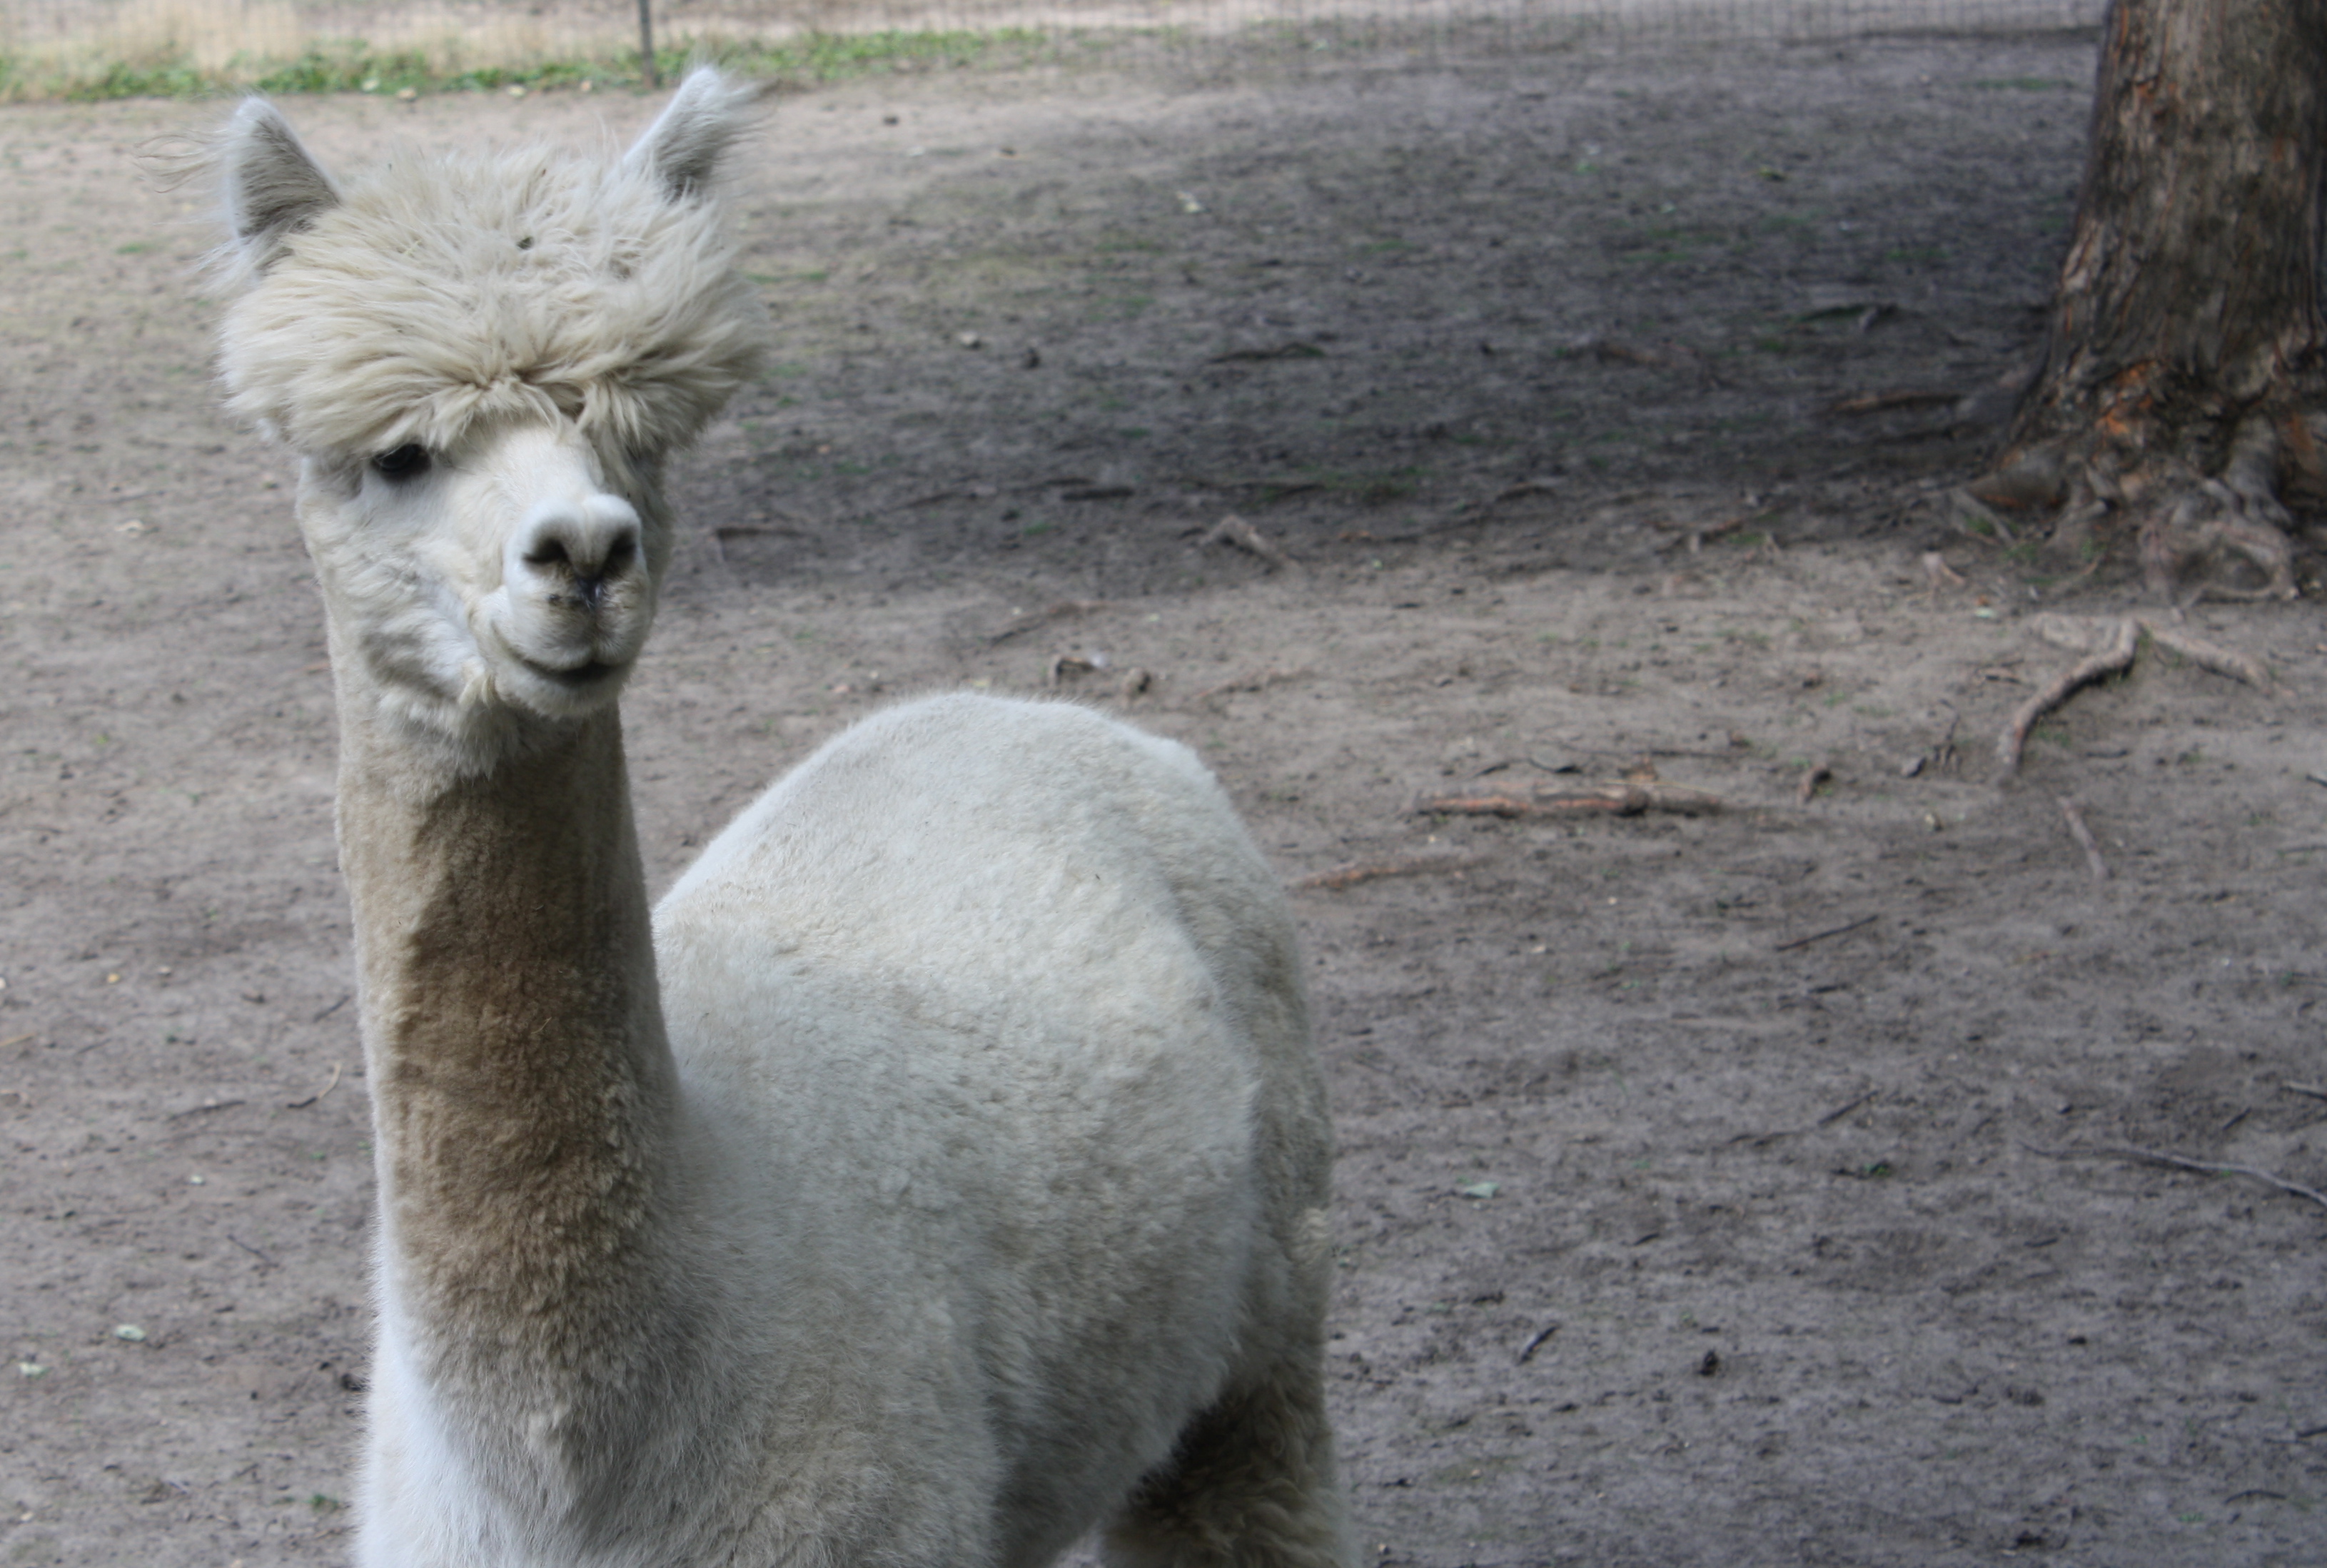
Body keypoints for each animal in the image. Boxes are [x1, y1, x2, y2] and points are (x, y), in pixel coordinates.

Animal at [206, 70, 1352, 1568]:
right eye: (397, 455)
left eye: (634, 436)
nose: (584, 552)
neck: (577, 1475)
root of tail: (1046, 713)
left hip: (1271, 1305)